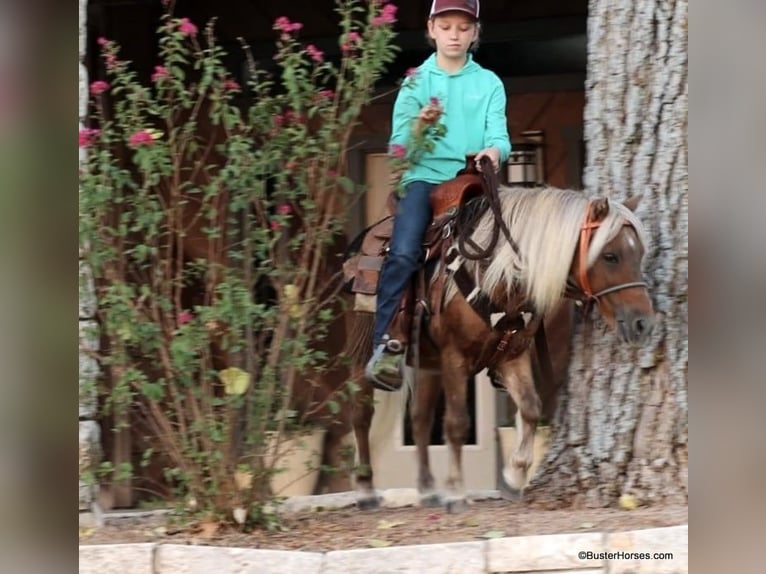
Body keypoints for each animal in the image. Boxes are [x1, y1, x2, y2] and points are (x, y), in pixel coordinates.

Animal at [344, 186, 654, 512]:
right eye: (610, 256)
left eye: (639, 253)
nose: (643, 323)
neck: (498, 277)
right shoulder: (455, 357)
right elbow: (457, 422)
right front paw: (457, 491)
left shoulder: (512, 356)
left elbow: (530, 408)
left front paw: (514, 476)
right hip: (363, 348)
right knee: (361, 413)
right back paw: (365, 490)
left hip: (428, 362)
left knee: (419, 417)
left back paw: (427, 489)